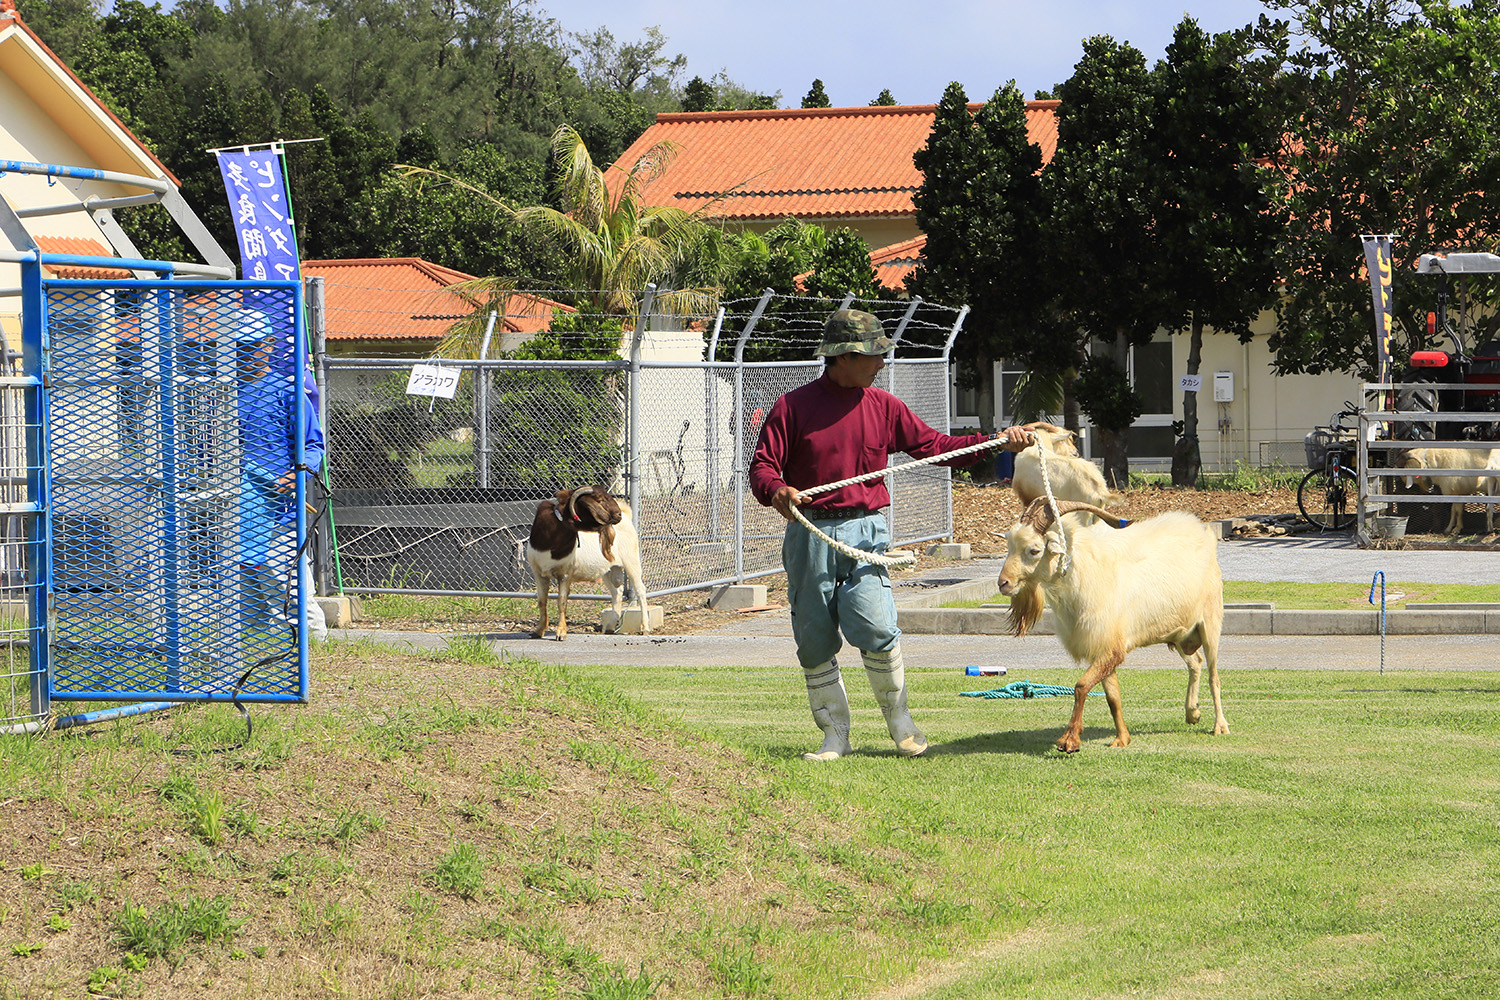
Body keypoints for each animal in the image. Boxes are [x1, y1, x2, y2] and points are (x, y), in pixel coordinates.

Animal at [525, 485, 648, 641]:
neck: (550, 542)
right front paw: (538, 631)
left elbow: (561, 601)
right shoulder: (539, 573)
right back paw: (610, 627)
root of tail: (627, 516)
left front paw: (561, 633)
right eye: (600, 499)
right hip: (608, 569)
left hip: (631, 561)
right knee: (617, 592)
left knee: (640, 590)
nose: (618, 515)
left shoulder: (565, 574)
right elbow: (542, 601)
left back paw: (645, 628)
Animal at [996, 497, 1230, 755]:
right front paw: (1122, 738)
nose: (1003, 583)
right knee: (1195, 662)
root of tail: (1204, 535)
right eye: (1009, 546)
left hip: (1210, 622)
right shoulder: (1103, 646)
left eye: (1034, 550)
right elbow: (1112, 697)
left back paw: (1220, 726)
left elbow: (1081, 686)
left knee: (1214, 675)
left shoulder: (1111, 647)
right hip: (1181, 634)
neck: (1084, 574)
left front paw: (1069, 740)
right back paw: (1192, 713)